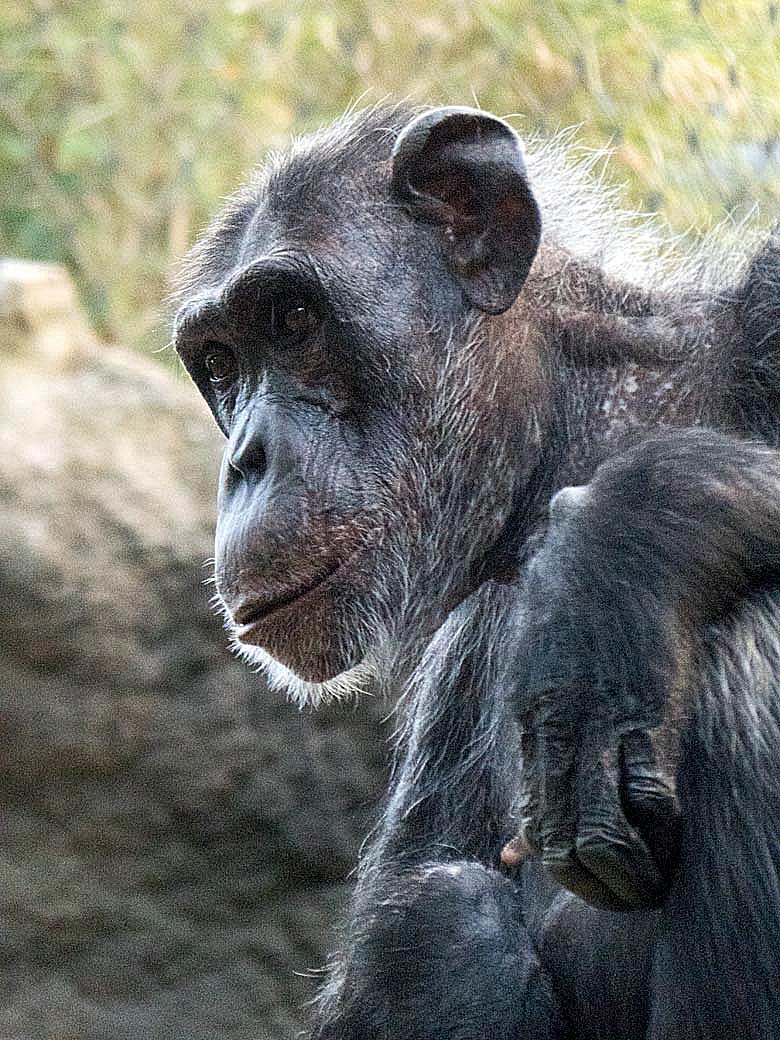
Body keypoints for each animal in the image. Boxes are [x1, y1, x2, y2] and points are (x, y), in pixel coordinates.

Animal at [173, 103, 780, 1040]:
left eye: (293, 319)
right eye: (219, 366)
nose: (245, 457)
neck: (586, 422)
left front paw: (615, 561)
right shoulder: (461, 664)